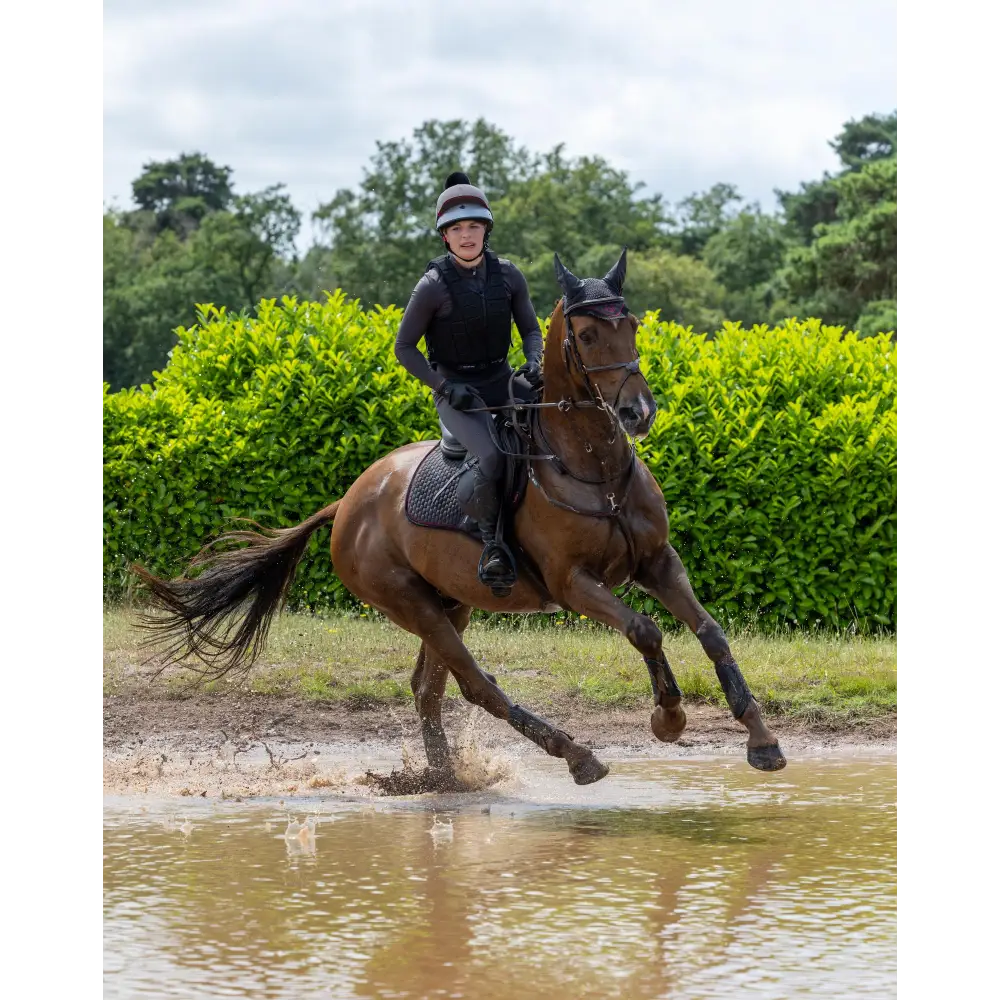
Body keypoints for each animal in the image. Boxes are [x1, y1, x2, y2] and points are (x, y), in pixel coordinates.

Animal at [131, 250, 788, 788]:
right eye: (586, 332)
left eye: (630, 325)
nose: (638, 413)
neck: (593, 467)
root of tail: (347, 504)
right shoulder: (574, 584)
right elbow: (646, 630)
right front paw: (668, 718)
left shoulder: (655, 561)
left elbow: (710, 631)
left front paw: (761, 740)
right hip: (408, 602)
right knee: (474, 685)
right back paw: (573, 756)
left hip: (451, 602)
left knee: (429, 688)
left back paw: (443, 777)